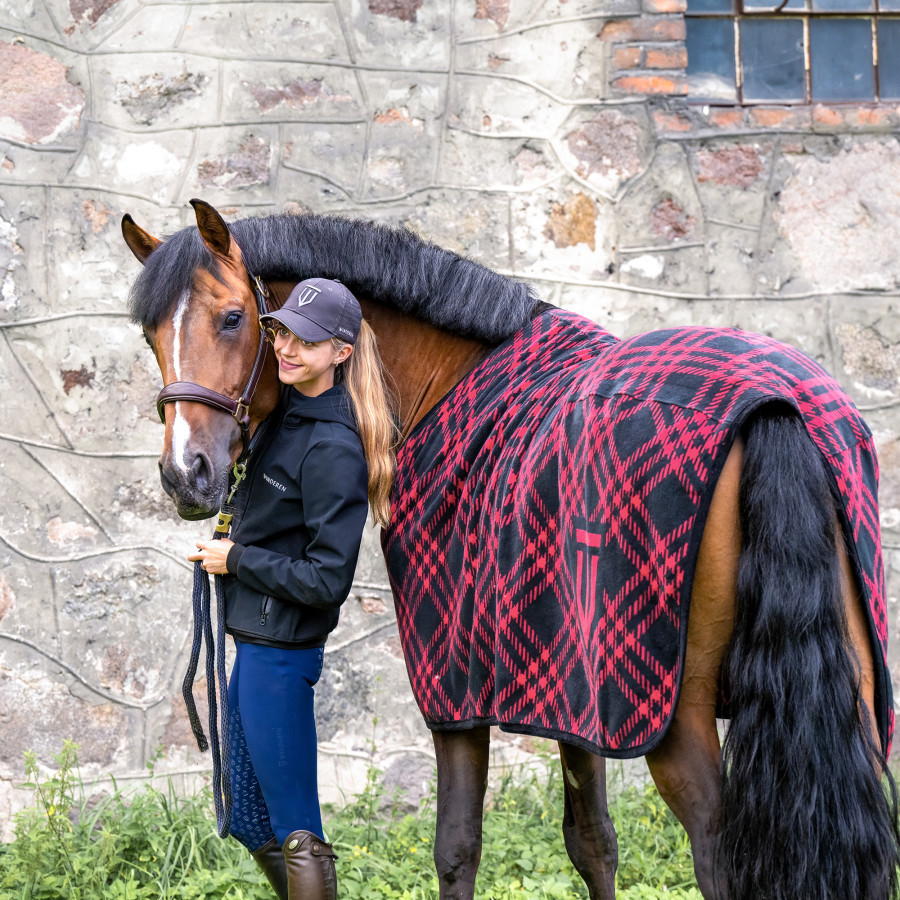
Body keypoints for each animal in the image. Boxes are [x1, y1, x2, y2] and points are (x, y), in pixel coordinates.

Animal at [122, 198, 900, 900]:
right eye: (151, 335)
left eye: (233, 317)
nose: (186, 473)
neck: (446, 379)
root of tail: (775, 410)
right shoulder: (574, 694)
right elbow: (593, 843)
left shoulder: (458, 693)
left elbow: (457, 847)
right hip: (850, 704)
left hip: (679, 725)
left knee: (718, 857)